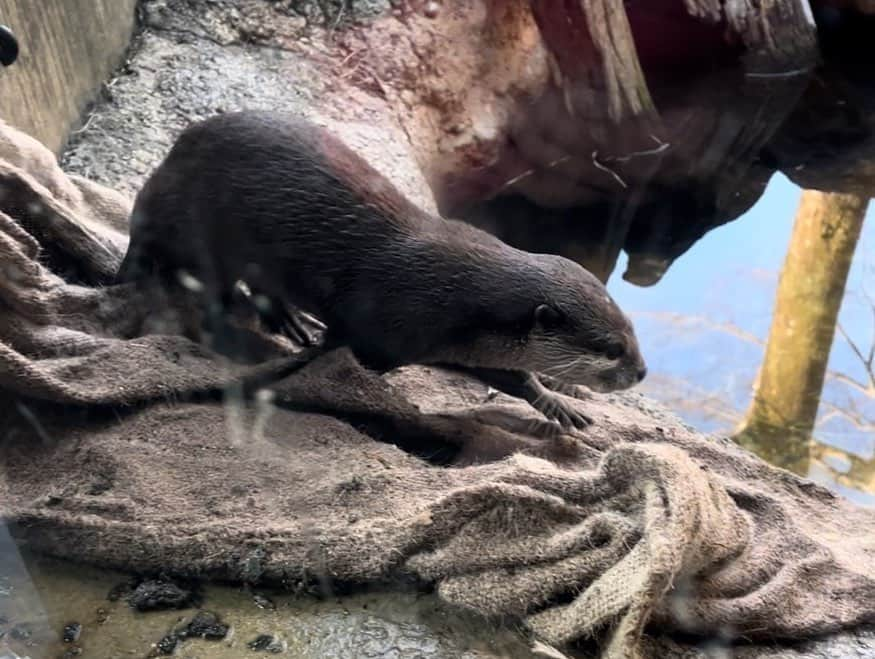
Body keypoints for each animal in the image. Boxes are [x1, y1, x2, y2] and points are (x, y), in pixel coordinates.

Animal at [116, 112, 648, 434]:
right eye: (610, 348)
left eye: (631, 330)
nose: (641, 372)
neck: (459, 297)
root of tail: (181, 144)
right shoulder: (389, 328)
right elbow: (343, 361)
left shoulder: (458, 343)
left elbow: (514, 377)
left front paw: (559, 404)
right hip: (184, 214)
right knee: (152, 240)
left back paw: (289, 320)